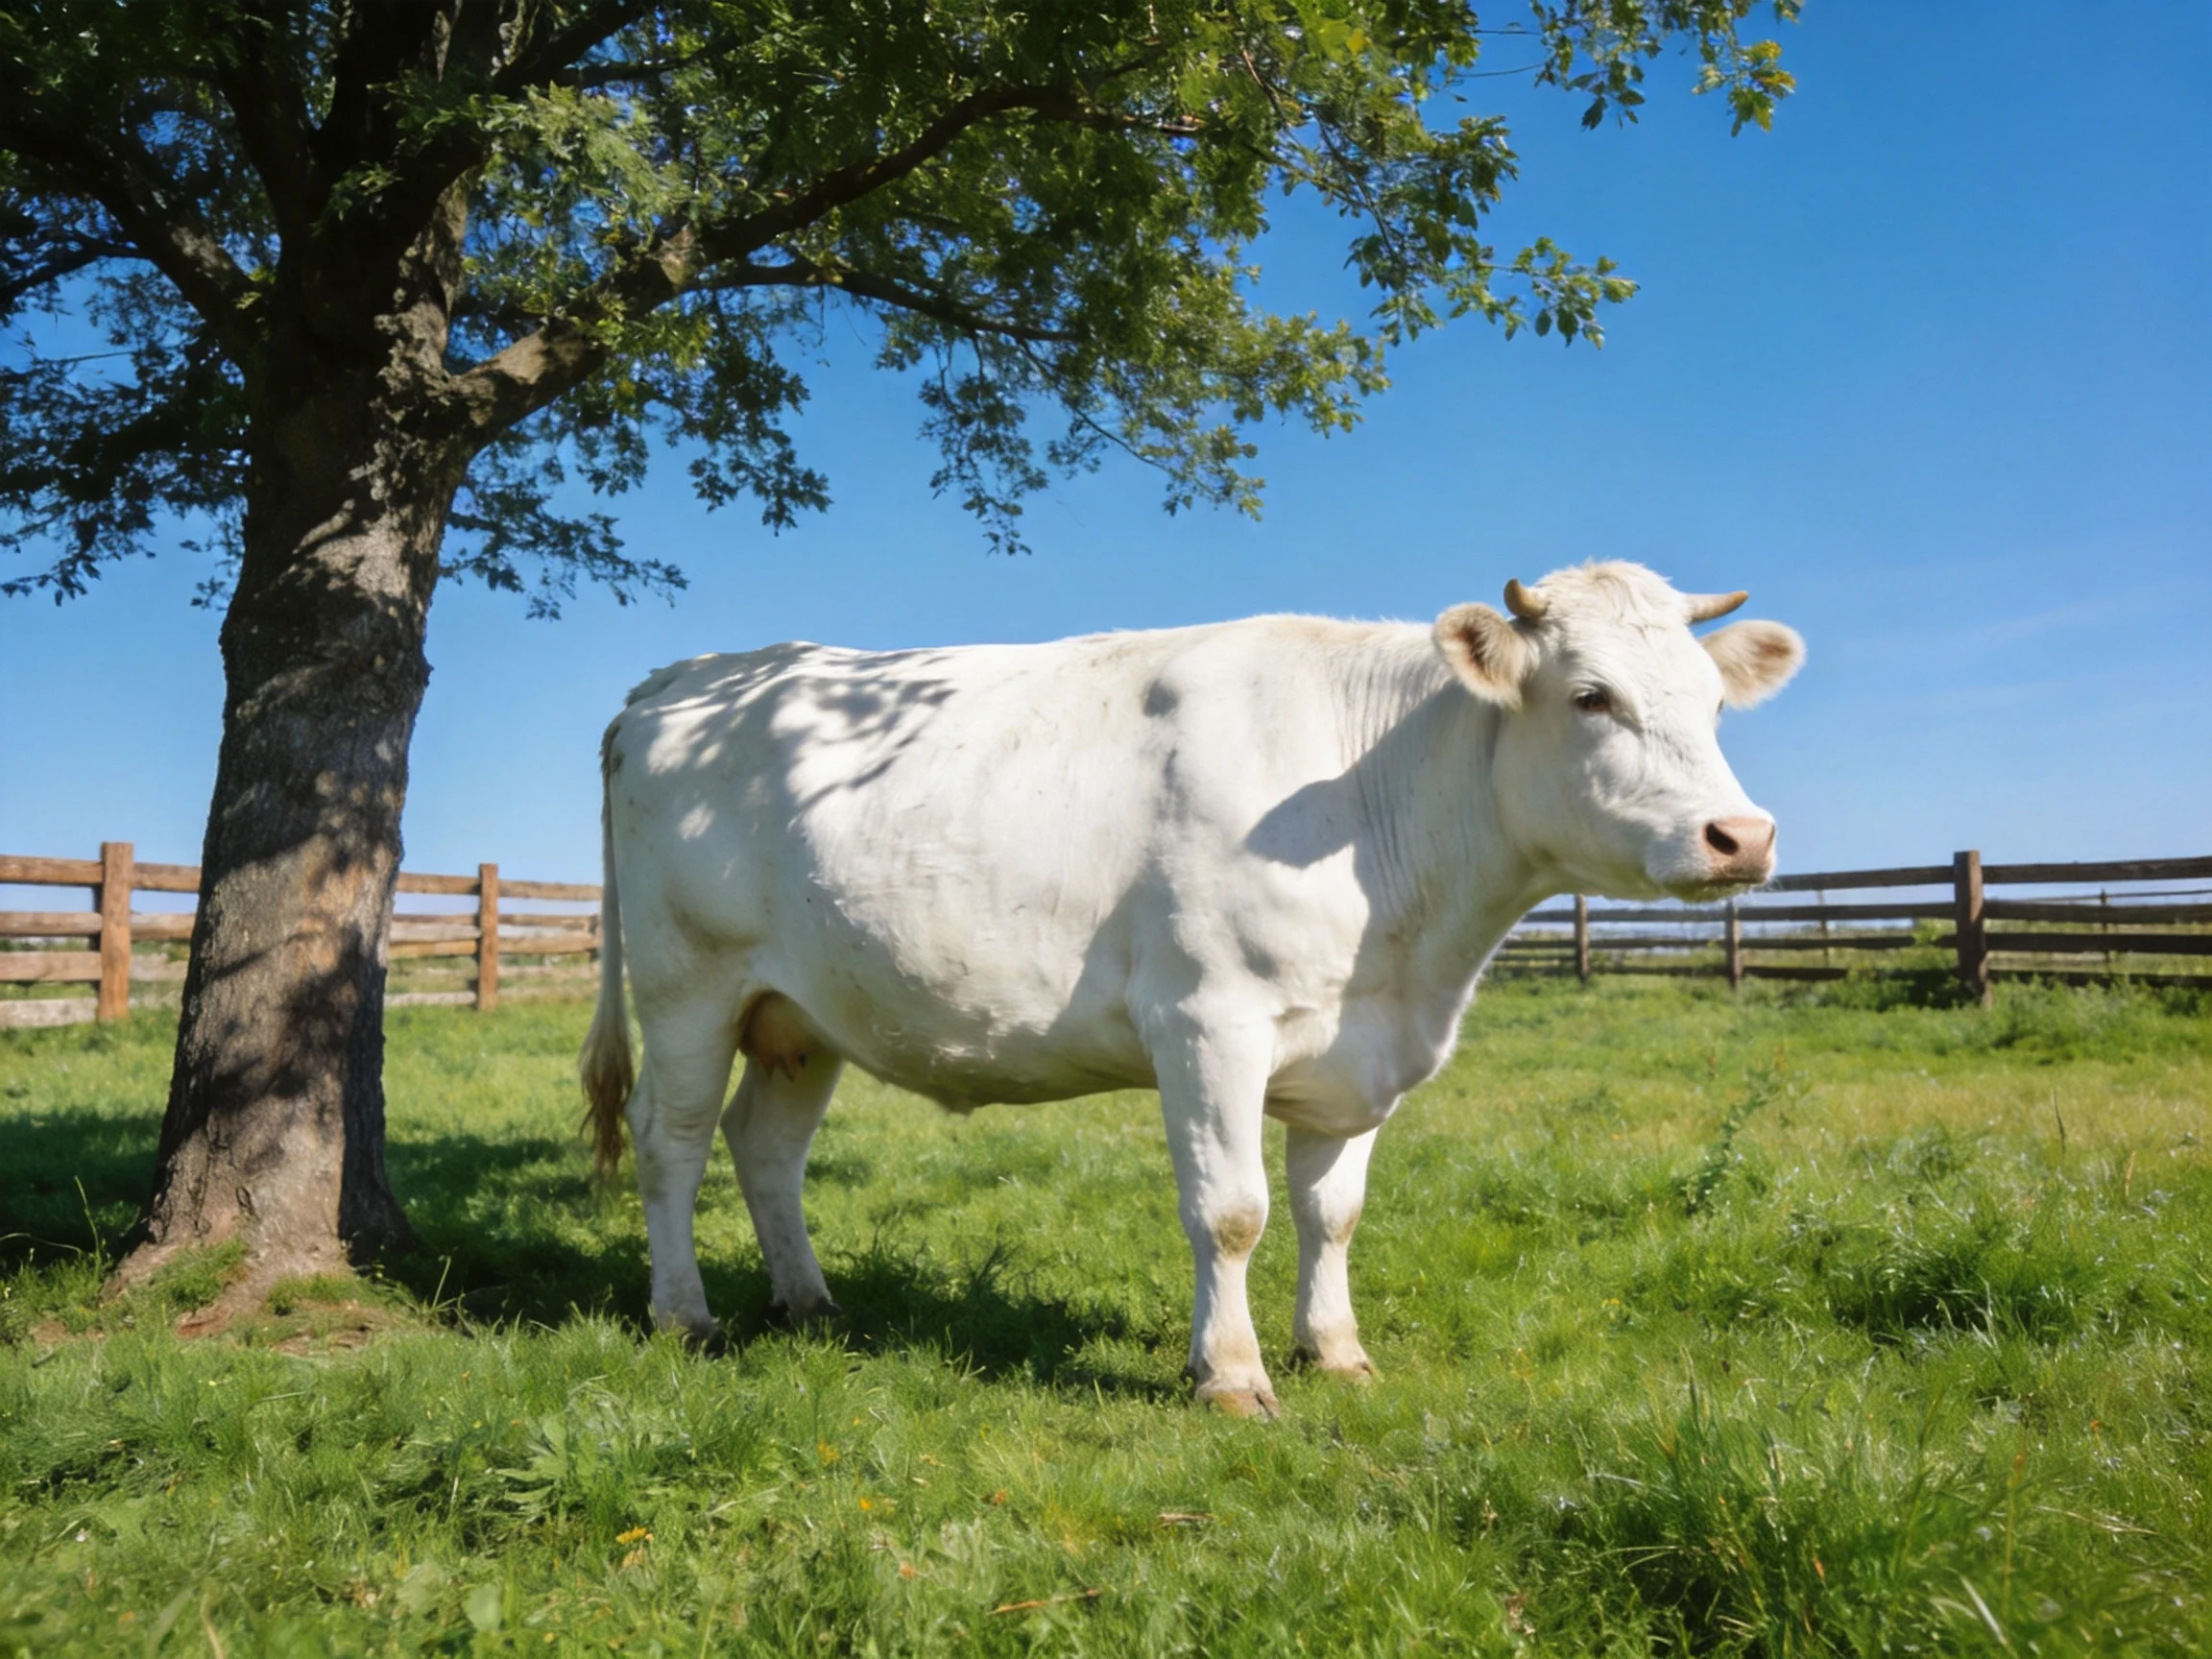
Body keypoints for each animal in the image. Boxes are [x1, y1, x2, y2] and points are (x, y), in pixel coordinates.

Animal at [580, 561, 1803, 1415]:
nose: (1742, 836)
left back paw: (809, 1302)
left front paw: (1337, 1353)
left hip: (803, 1015)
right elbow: (1233, 1211)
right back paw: (685, 1317)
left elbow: (1333, 1213)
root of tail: (679, 680)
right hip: (689, 984)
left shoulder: (1358, 1052)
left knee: (764, 1146)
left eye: (1714, 702)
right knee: (671, 1142)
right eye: (1592, 696)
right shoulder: (1210, 1024)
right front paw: (1229, 1375)